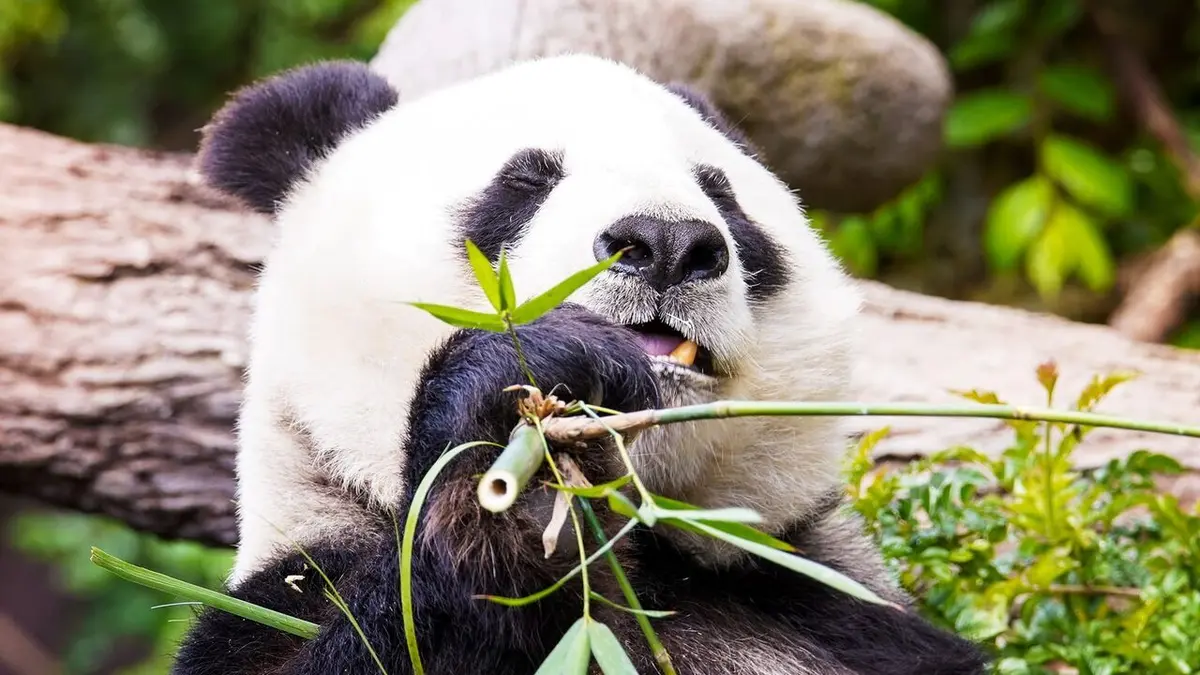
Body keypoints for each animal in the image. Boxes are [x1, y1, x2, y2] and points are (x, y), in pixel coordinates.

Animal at [171, 54, 988, 675]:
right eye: (525, 182)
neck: (642, 547)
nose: (666, 243)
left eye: (721, 193)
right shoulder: (289, 590)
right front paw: (511, 468)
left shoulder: (832, 614)